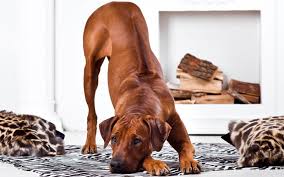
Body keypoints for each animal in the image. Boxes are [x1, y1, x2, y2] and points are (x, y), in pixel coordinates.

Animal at [81, 1, 201, 176]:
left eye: (137, 140)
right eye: (114, 138)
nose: (115, 165)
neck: (142, 97)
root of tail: (113, 3)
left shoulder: (175, 122)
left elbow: (187, 145)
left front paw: (189, 161)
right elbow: (145, 156)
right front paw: (156, 163)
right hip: (90, 70)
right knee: (91, 113)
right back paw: (90, 144)